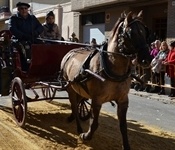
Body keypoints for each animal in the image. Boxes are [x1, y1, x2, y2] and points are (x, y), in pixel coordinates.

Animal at [60, 11, 152, 150]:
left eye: (145, 32)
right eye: (130, 33)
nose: (147, 59)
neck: (111, 67)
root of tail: (70, 52)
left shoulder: (123, 101)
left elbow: (123, 126)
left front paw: (126, 146)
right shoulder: (97, 100)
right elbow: (94, 123)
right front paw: (86, 136)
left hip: (79, 89)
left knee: (77, 102)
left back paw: (72, 117)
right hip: (70, 87)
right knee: (75, 107)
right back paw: (79, 128)